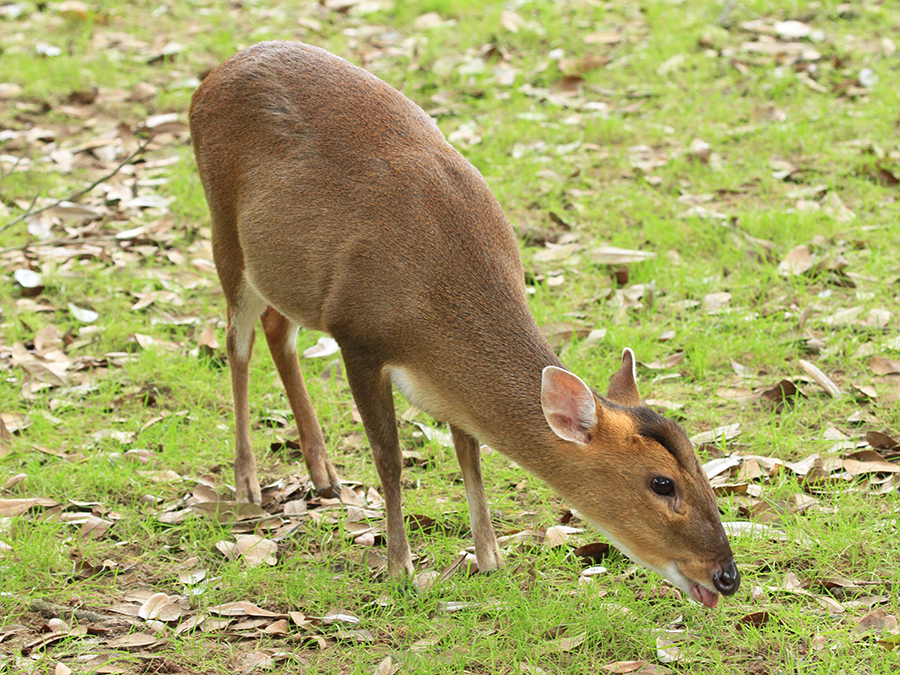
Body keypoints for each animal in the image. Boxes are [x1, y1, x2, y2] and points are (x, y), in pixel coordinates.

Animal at [190, 45, 740, 608]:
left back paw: (323, 474)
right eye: (661, 484)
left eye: (702, 467)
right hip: (223, 230)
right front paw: (400, 568)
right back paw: (247, 483)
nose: (728, 576)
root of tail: (214, 76)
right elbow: (390, 457)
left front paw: (490, 558)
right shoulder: (358, 333)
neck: (436, 307)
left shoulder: (446, 382)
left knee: (277, 327)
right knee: (237, 341)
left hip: (284, 273)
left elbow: (469, 451)